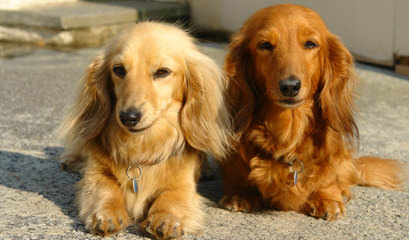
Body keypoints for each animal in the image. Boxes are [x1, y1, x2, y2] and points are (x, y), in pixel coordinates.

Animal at [59, 22, 233, 238]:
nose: (128, 117)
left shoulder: (182, 185)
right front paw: (105, 214)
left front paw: (166, 219)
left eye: (162, 72)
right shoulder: (96, 174)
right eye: (118, 69)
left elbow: (171, 198)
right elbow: (106, 189)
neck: (142, 146)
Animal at [218, 3, 404, 220]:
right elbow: (236, 174)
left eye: (310, 44)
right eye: (264, 45)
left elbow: (329, 178)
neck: (289, 133)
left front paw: (327, 198)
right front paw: (240, 194)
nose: (290, 86)